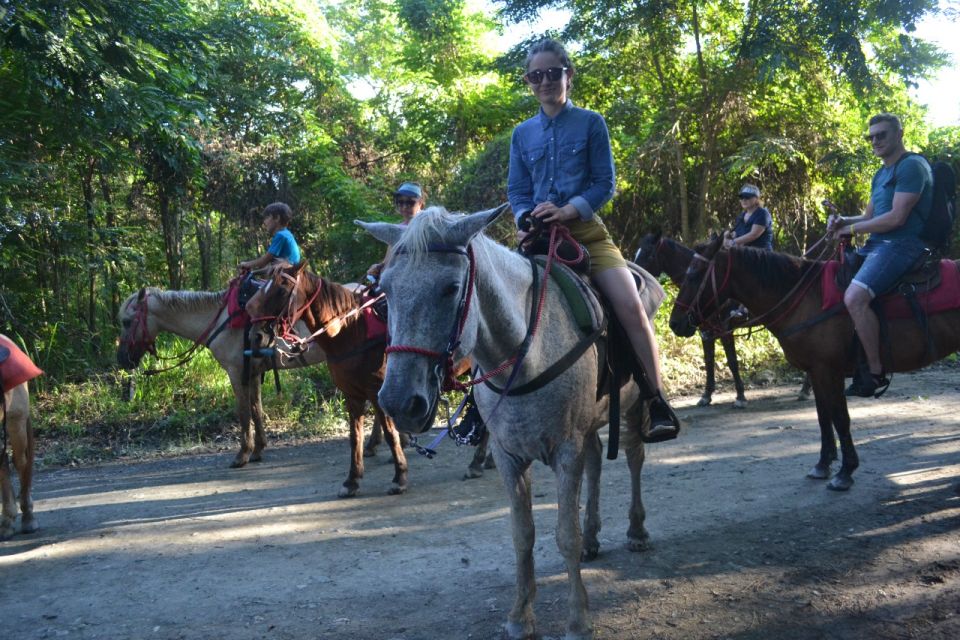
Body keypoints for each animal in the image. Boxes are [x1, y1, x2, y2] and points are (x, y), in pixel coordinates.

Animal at [244, 262, 408, 498]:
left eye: (282, 290)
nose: (256, 336)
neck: (351, 331)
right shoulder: (352, 395)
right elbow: (355, 437)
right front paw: (352, 480)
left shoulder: (377, 392)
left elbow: (390, 433)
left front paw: (399, 476)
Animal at [356, 208, 664, 636]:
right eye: (385, 292)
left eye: (451, 288)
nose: (399, 401)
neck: (527, 351)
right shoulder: (509, 456)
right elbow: (522, 535)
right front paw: (520, 616)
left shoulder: (565, 450)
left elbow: (564, 535)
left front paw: (577, 619)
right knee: (597, 459)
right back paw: (593, 537)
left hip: (634, 407)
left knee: (634, 457)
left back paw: (637, 530)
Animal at [668, 235, 960, 490]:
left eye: (694, 274)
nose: (675, 323)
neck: (805, 299)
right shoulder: (817, 372)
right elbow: (823, 417)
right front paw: (823, 464)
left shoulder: (828, 371)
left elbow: (840, 418)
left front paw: (845, 472)